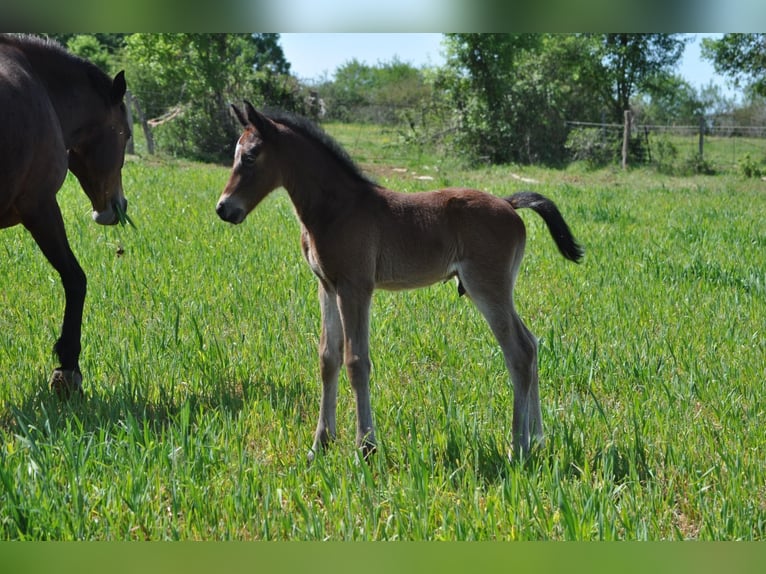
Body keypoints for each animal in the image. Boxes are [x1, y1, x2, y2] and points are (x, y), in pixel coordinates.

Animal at [216, 101, 583, 461]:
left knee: (518, 351)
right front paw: (320, 444)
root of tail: (509, 204)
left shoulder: (355, 287)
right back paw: (537, 439)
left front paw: (365, 448)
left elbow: (356, 361)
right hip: (495, 288)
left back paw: (518, 448)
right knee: (531, 344)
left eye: (250, 156)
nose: (224, 209)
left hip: (487, 286)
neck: (336, 209)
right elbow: (328, 358)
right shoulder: (328, 286)